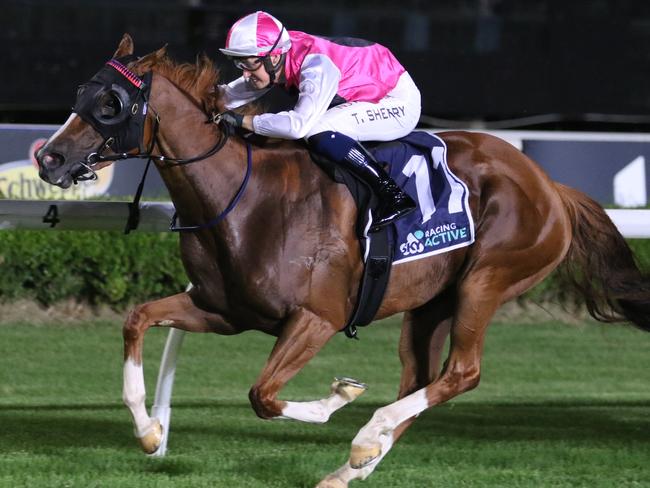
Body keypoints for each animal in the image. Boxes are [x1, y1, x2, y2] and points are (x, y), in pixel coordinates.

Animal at [36, 35, 648, 488]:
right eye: (82, 91)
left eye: (111, 104)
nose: (49, 158)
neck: (244, 196)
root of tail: (550, 185)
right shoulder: (221, 310)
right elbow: (137, 319)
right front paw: (149, 433)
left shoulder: (317, 318)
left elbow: (262, 396)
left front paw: (339, 400)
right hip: (430, 303)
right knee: (419, 380)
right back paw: (352, 465)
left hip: (487, 280)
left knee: (461, 373)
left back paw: (364, 438)